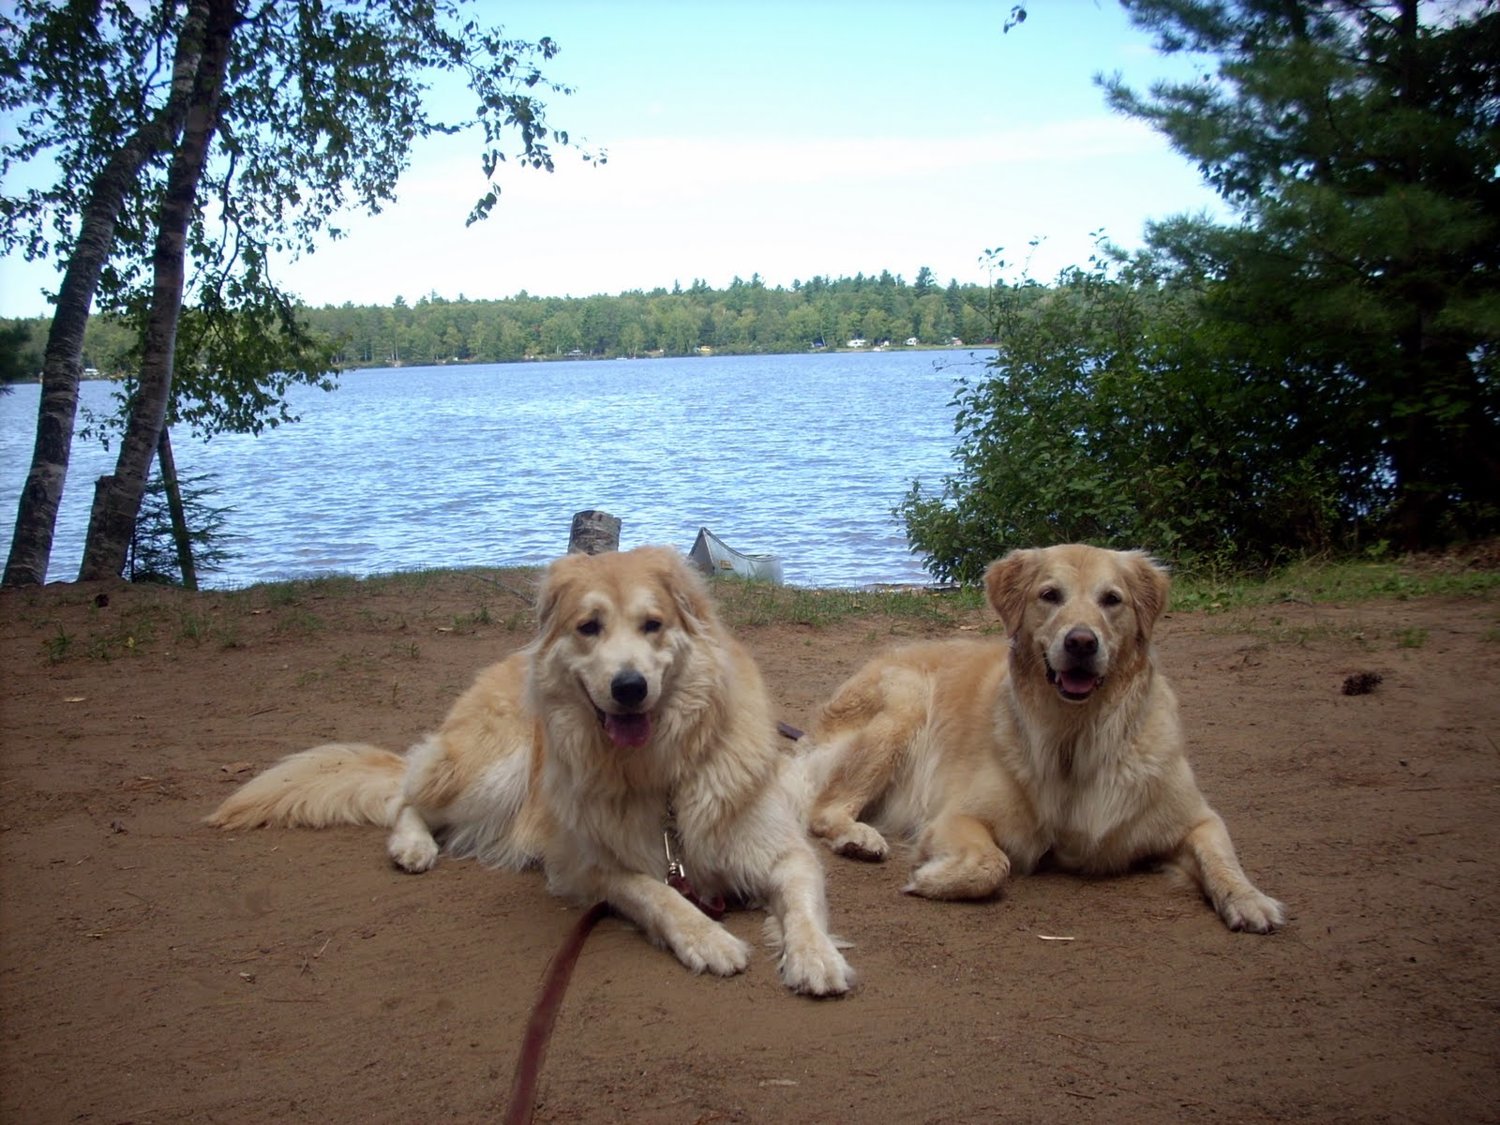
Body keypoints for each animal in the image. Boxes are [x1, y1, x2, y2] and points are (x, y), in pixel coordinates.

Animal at [205, 546, 852, 996]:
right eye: (589, 627)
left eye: (653, 624)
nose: (629, 687)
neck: (659, 772)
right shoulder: (585, 865)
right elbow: (657, 894)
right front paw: (708, 938)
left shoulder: (781, 850)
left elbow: (801, 904)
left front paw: (816, 957)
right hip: (496, 769)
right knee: (407, 800)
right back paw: (413, 847)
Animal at [804, 546, 1284, 936]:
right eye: (1050, 595)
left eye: (1112, 599)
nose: (1081, 642)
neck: (1075, 735)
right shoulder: (957, 817)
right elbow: (994, 865)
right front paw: (928, 879)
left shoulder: (1196, 819)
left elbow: (1223, 858)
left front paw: (1249, 899)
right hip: (903, 710)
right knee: (824, 810)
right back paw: (858, 838)